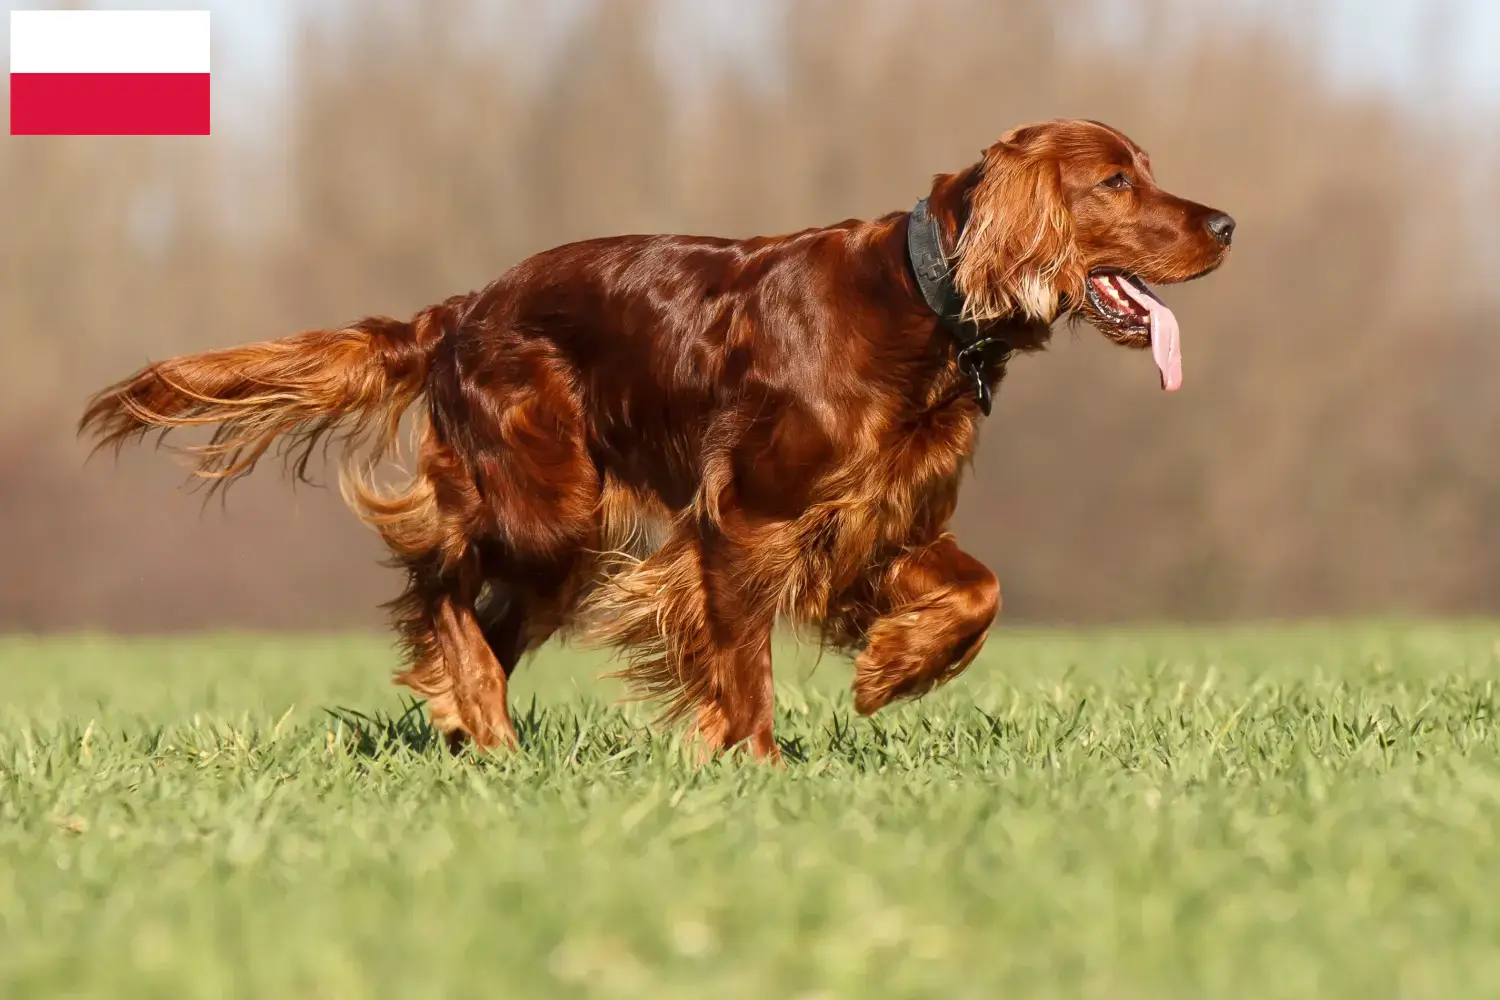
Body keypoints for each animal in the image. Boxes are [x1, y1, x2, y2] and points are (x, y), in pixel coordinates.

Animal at [79, 119, 1230, 758]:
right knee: (436, 575)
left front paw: (890, 673)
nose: (1226, 224)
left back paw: (472, 722)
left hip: (565, 539)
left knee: (484, 621)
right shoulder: (743, 522)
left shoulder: (880, 522)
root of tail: (458, 311)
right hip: (549, 507)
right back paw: (481, 718)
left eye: (1146, 170)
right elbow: (743, 662)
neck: (921, 301)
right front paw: (757, 766)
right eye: (1115, 182)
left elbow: (980, 591)